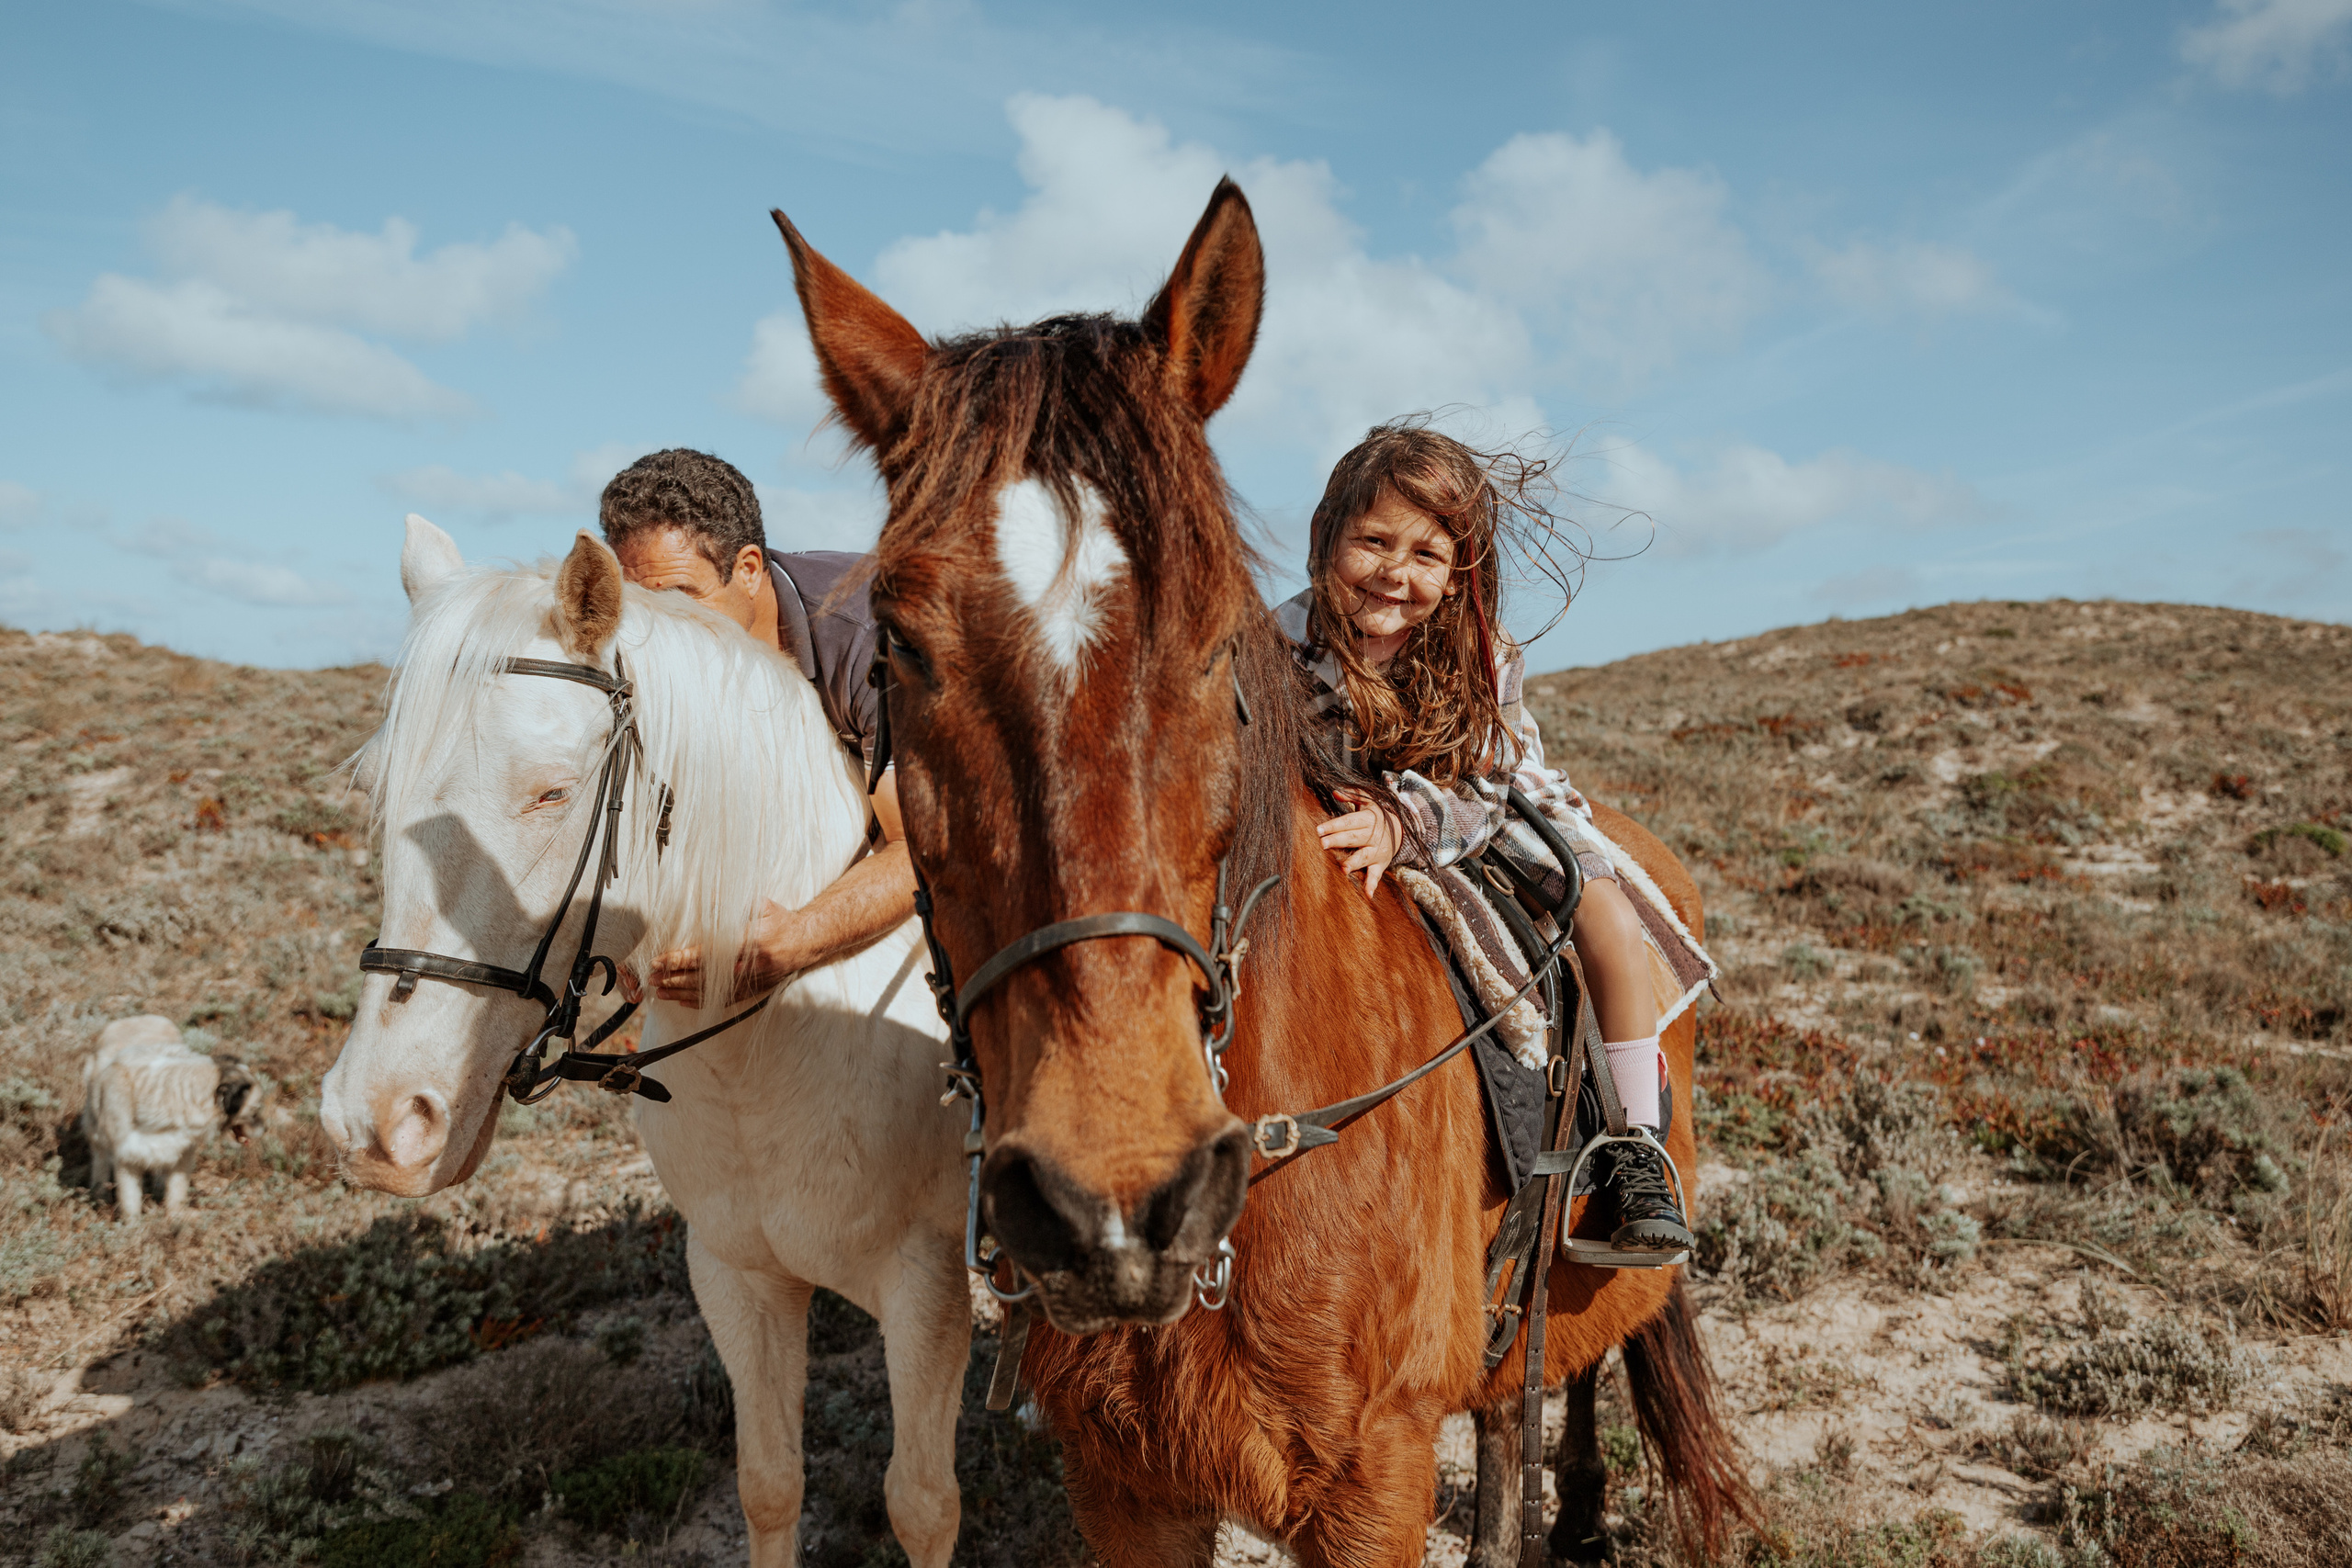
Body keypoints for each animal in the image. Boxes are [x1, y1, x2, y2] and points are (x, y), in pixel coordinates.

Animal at [318, 517, 972, 1568]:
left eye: (551, 793)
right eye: (380, 786)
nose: (376, 1121)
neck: (769, 1057)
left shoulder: (928, 1289)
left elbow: (920, 1504)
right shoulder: (737, 1277)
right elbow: (769, 1485)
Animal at [768, 181, 1752, 1566]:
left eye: (1221, 628)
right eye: (900, 643)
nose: (1112, 1203)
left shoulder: (1373, 1484)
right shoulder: (1126, 1487)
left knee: (1598, 1349)